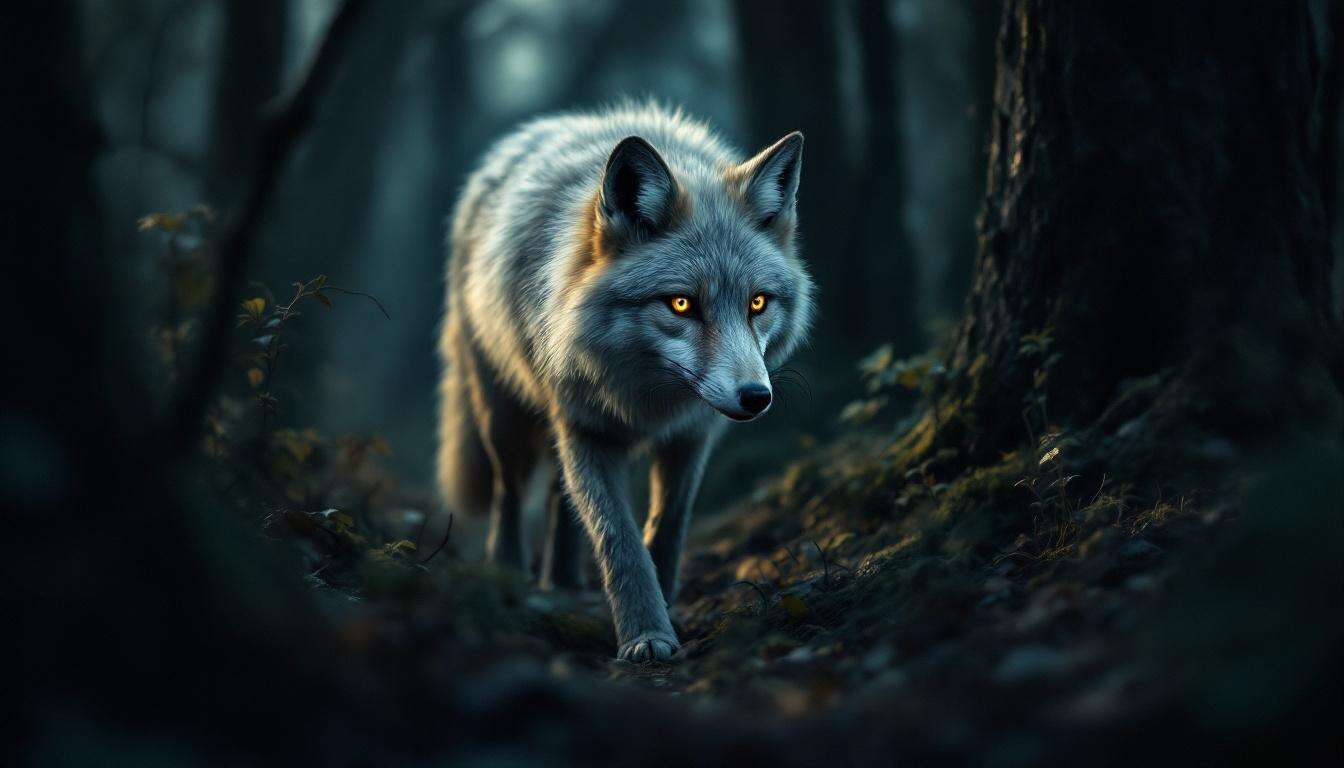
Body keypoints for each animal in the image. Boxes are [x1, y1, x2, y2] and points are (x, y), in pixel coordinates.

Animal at [436, 103, 814, 662]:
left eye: (757, 303)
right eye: (681, 304)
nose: (756, 397)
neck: (648, 400)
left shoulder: (692, 435)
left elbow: (668, 526)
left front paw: (667, 601)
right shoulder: (586, 431)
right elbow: (619, 540)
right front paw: (645, 634)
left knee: (559, 496)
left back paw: (563, 580)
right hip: (504, 415)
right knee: (509, 491)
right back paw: (509, 575)